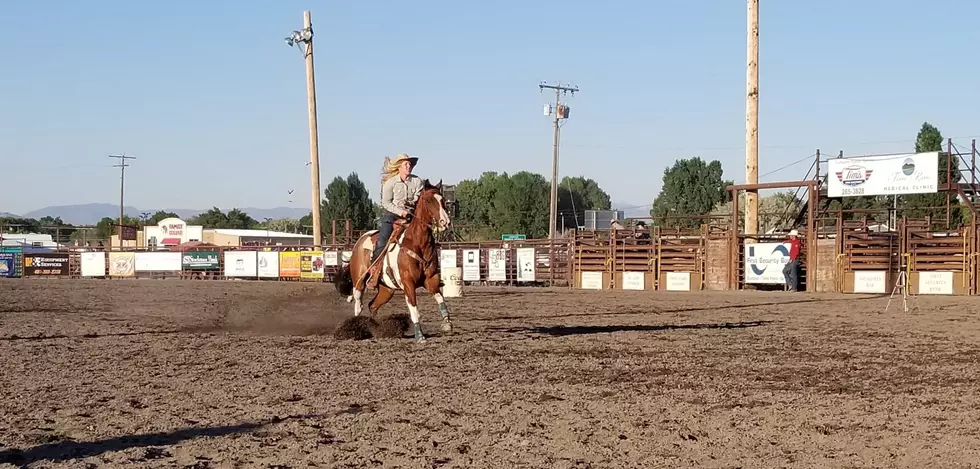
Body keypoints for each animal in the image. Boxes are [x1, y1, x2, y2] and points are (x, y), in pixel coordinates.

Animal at [330, 178, 452, 340]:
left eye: (442, 200)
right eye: (429, 200)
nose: (445, 222)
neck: (416, 242)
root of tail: (358, 242)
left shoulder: (431, 280)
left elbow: (441, 300)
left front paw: (447, 324)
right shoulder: (408, 283)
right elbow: (414, 309)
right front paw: (420, 336)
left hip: (386, 290)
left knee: (372, 305)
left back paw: (373, 328)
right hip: (359, 281)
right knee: (358, 305)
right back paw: (355, 328)